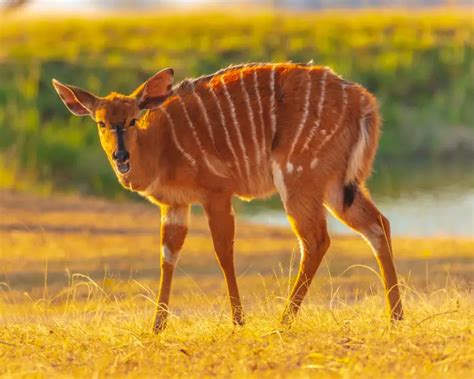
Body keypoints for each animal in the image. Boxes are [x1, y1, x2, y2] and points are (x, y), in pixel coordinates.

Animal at [52, 62, 404, 332]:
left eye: (132, 120)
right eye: (101, 122)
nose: (121, 157)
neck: (161, 144)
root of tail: (365, 103)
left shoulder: (217, 193)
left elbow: (223, 252)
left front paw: (238, 321)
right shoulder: (176, 204)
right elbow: (168, 257)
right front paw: (157, 326)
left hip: (299, 179)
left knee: (316, 239)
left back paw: (283, 321)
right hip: (335, 186)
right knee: (378, 225)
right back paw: (395, 318)